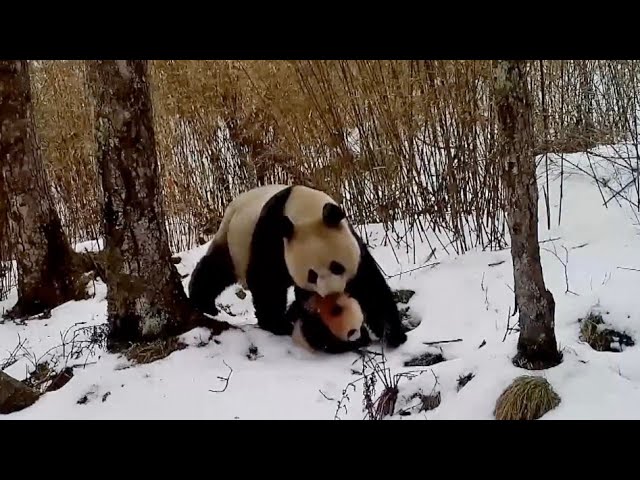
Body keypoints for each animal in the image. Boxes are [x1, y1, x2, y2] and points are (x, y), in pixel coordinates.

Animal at [189, 185, 404, 348]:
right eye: (312, 275)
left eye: (337, 267)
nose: (331, 293)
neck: (304, 211)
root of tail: (234, 204)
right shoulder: (272, 237)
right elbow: (267, 281)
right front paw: (278, 324)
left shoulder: (350, 240)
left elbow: (369, 286)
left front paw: (393, 334)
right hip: (234, 240)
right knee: (216, 270)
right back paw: (203, 303)